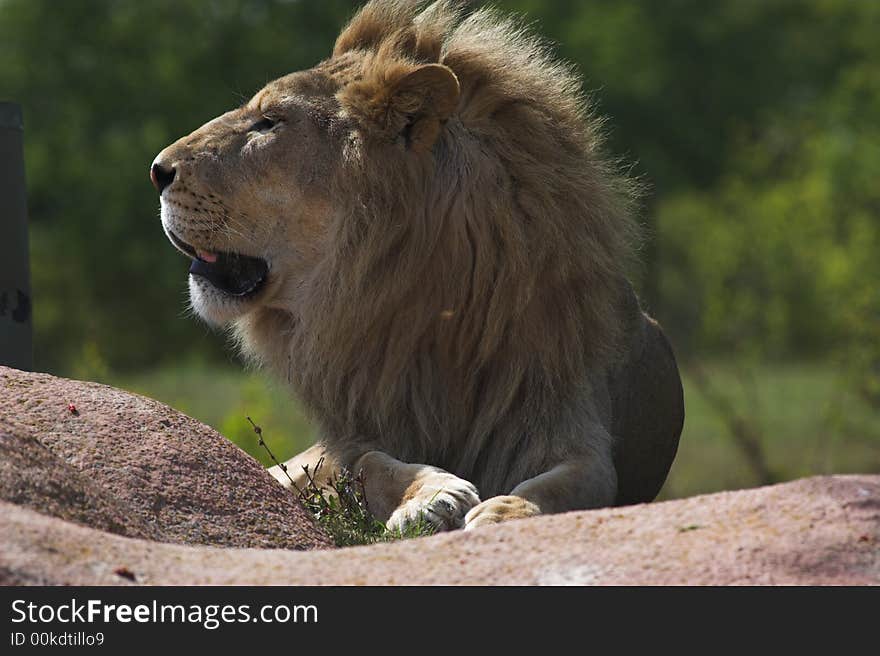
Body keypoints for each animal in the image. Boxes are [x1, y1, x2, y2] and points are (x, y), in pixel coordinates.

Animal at [151, 0, 688, 532]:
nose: (157, 170)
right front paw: (431, 497)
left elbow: (563, 485)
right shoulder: (355, 438)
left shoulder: (572, 428)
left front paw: (505, 513)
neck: (428, 305)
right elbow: (374, 465)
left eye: (269, 122)